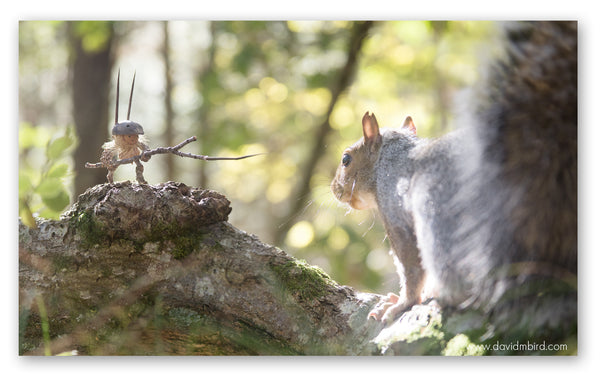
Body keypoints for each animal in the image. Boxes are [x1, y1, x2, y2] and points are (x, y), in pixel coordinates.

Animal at [330, 22, 580, 330]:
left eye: (346, 160)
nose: (334, 189)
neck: (388, 159)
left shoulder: (395, 212)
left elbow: (410, 265)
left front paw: (401, 303)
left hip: (437, 212)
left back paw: (445, 297)